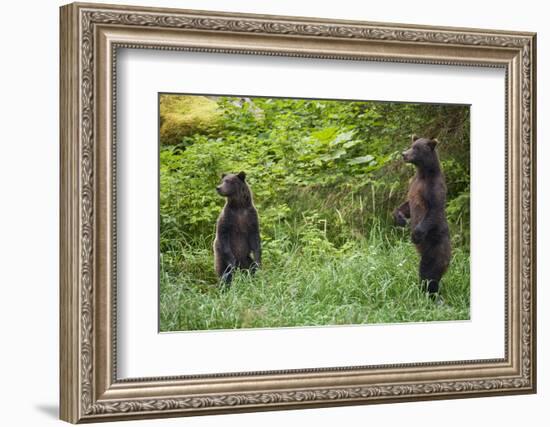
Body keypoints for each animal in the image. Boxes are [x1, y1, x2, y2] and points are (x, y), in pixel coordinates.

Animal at [396, 135, 452, 296]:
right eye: (412, 145)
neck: (423, 173)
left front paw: (415, 235)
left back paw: (431, 294)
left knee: (429, 273)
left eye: (417, 148)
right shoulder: (414, 184)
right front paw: (399, 217)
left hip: (436, 248)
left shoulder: (434, 188)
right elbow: (407, 204)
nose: (404, 154)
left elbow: (434, 210)